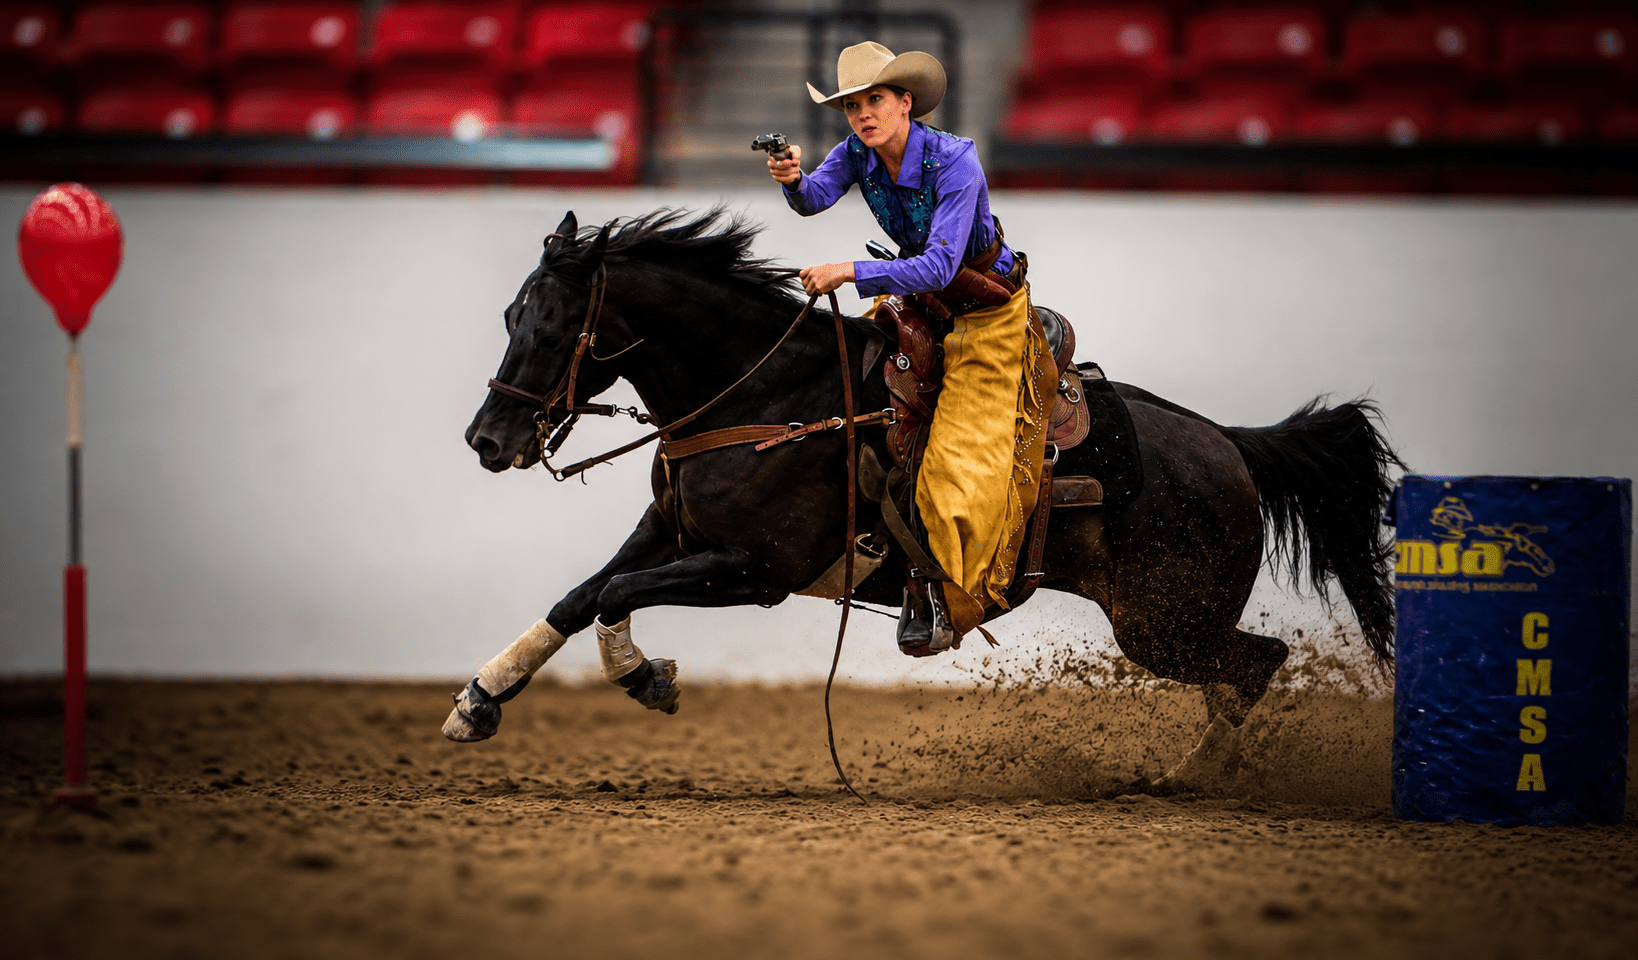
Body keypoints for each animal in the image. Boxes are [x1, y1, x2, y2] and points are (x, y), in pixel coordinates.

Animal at [450, 207, 1402, 788]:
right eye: (508, 317)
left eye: (550, 328)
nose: (487, 441)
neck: (767, 395)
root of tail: (1230, 443)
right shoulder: (670, 530)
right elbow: (578, 598)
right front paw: (478, 700)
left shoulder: (754, 570)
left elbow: (614, 593)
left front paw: (647, 678)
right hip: (1170, 621)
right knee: (1244, 672)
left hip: (1164, 621)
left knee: (1256, 665)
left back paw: (1192, 776)